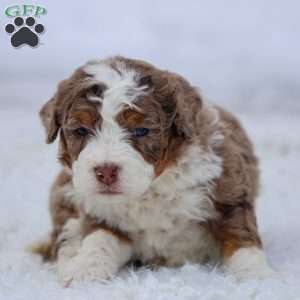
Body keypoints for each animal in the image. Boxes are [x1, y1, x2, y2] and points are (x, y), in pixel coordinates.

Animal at [32, 55, 274, 284]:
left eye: (141, 131)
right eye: (81, 130)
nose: (106, 172)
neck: (150, 189)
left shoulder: (228, 191)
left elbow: (241, 238)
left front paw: (256, 277)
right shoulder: (100, 211)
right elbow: (98, 238)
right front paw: (84, 269)